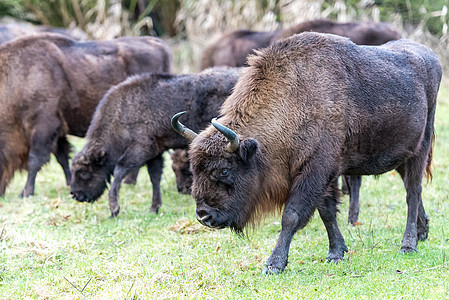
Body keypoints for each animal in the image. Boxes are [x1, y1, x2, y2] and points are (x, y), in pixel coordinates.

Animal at [69, 67, 242, 217]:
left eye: (83, 172)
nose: (75, 194)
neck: (121, 112)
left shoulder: (141, 148)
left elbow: (120, 170)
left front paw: (114, 209)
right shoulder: (155, 152)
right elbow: (155, 177)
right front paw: (154, 208)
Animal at [172, 32, 440, 274]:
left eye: (224, 170)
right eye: (194, 169)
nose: (203, 216)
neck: (294, 100)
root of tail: (432, 57)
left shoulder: (315, 172)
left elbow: (292, 215)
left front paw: (273, 264)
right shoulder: (324, 176)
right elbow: (327, 213)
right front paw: (336, 252)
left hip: (420, 149)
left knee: (412, 193)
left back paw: (409, 244)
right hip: (402, 156)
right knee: (411, 189)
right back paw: (423, 231)